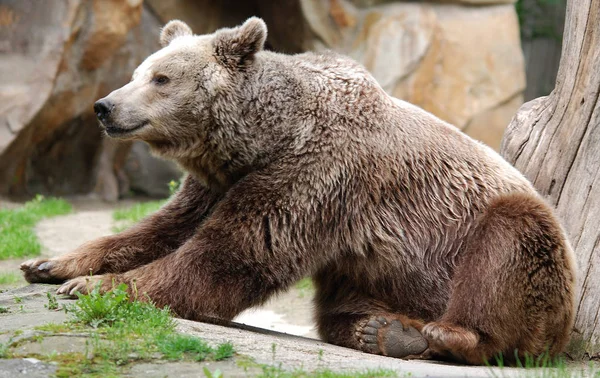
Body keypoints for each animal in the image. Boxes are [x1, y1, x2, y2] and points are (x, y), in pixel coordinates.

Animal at [22, 18, 576, 366]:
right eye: (137, 71)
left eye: (160, 78)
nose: (105, 107)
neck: (266, 137)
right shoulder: (219, 179)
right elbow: (163, 228)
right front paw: (52, 264)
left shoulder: (317, 173)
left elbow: (234, 250)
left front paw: (96, 287)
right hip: (368, 278)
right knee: (337, 311)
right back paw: (382, 330)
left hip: (506, 254)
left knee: (509, 245)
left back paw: (451, 334)